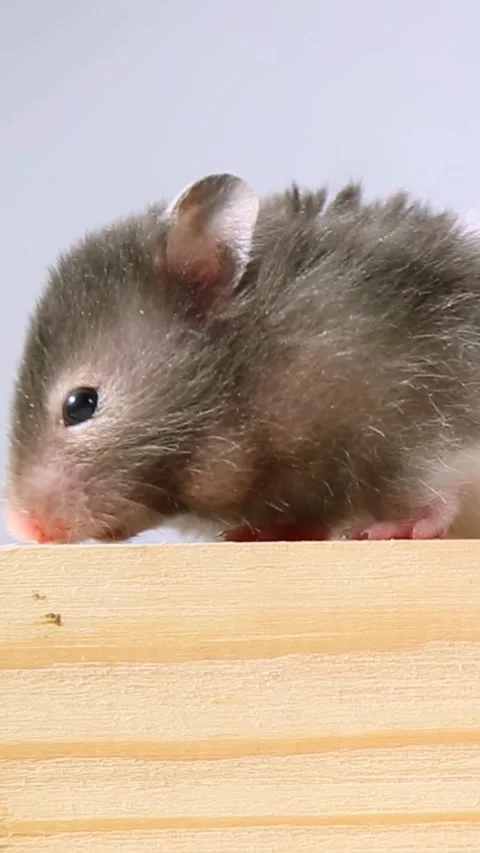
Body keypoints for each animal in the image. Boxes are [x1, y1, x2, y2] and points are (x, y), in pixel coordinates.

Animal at [6, 171, 480, 545]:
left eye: (80, 404)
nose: (21, 527)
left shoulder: (425, 413)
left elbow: (438, 488)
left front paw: (391, 529)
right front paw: (247, 534)